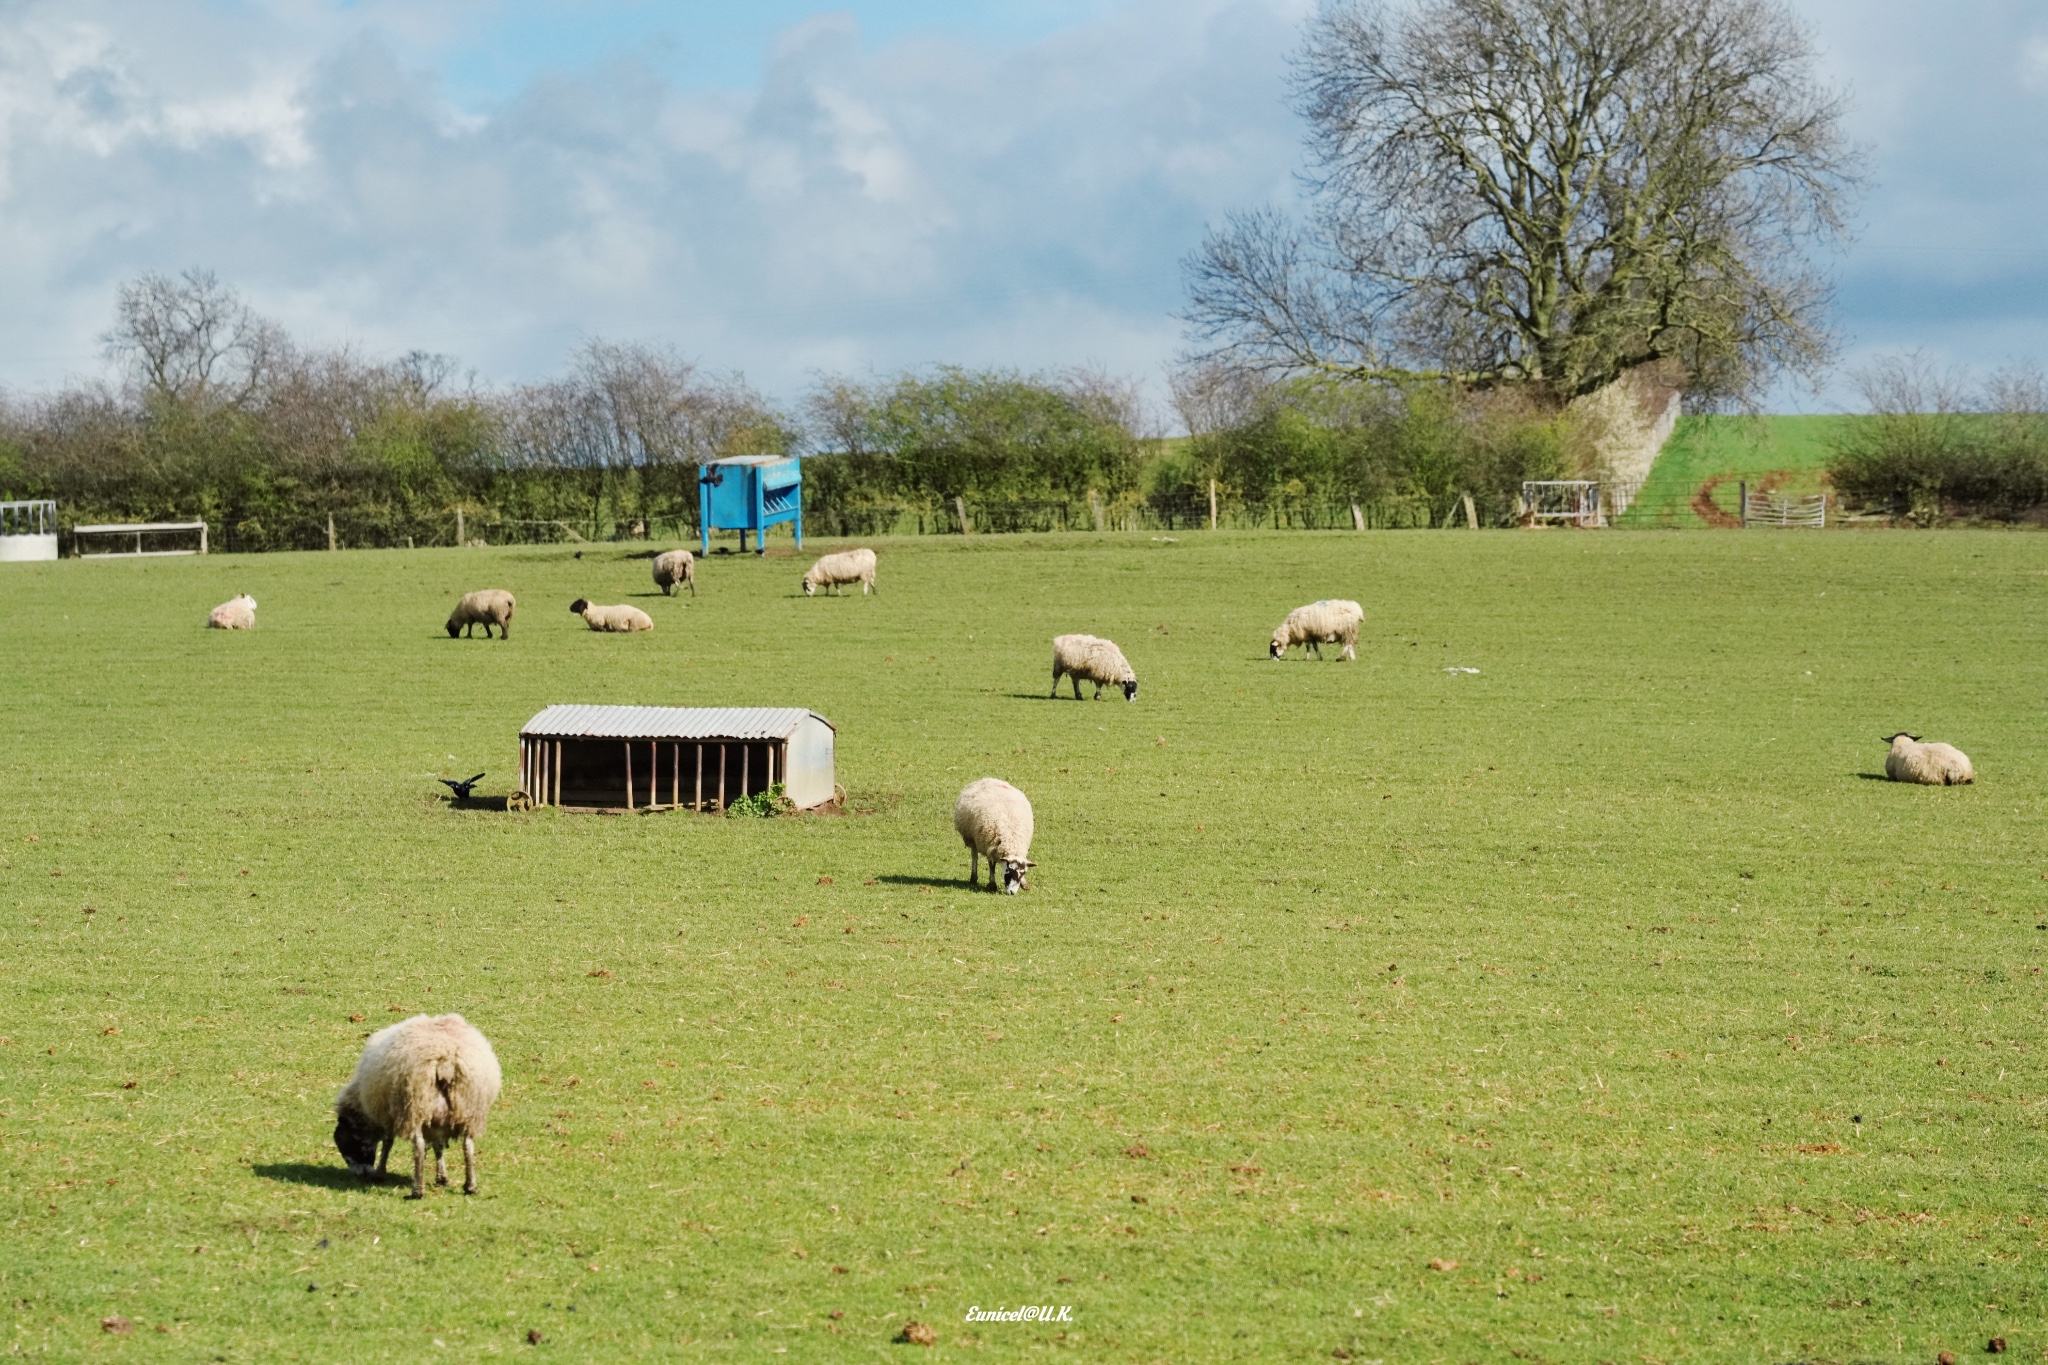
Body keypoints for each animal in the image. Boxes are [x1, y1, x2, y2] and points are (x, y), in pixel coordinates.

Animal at [333, 1015, 501, 1195]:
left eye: (345, 1143)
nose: (359, 1174)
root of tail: (446, 1060)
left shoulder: (389, 1115)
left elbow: (387, 1143)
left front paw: (380, 1172)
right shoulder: (434, 1122)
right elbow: (438, 1145)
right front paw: (442, 1177)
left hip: (413, 1105)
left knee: (419, 1146)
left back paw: (418, 1191)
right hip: (468, 1107)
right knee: (468, 1145)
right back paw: (470, 1186)